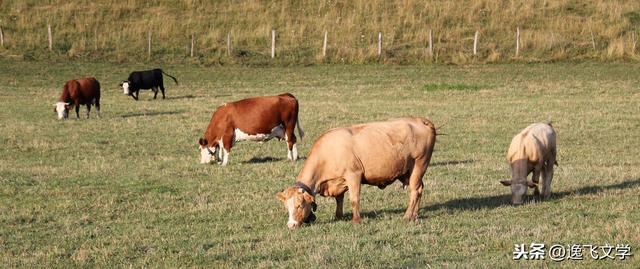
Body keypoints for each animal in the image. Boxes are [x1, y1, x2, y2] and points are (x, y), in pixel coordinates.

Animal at [276, 116, 436, 227]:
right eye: (286, 207)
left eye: (299, 205)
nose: (291, 225)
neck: (328, 152)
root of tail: (420, 120)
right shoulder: (338, 181)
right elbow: (339, 199)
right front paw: (338, 216)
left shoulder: (354, 174)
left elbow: (354, 199)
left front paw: (356, 220)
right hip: (408, 171)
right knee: (420, 189)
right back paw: (415, 214)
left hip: (419, 164)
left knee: (415, 190)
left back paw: (408, 216)